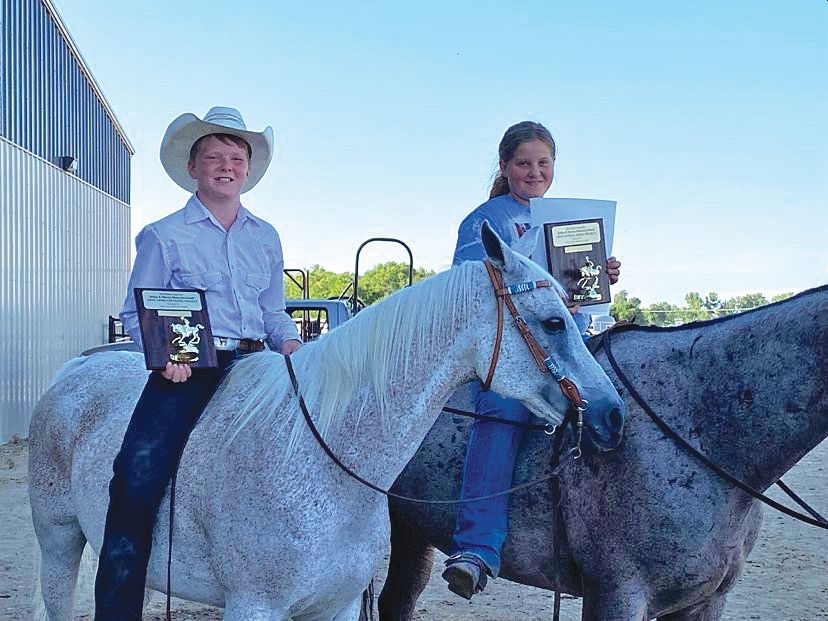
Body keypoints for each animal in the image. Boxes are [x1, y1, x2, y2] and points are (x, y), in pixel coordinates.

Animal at [25, 224, 624, 620]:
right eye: (553, 322)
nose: (611, 415)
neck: (322, 455)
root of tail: (76, 367)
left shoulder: (336, 605)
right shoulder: (254, 607)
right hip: (59, 542)